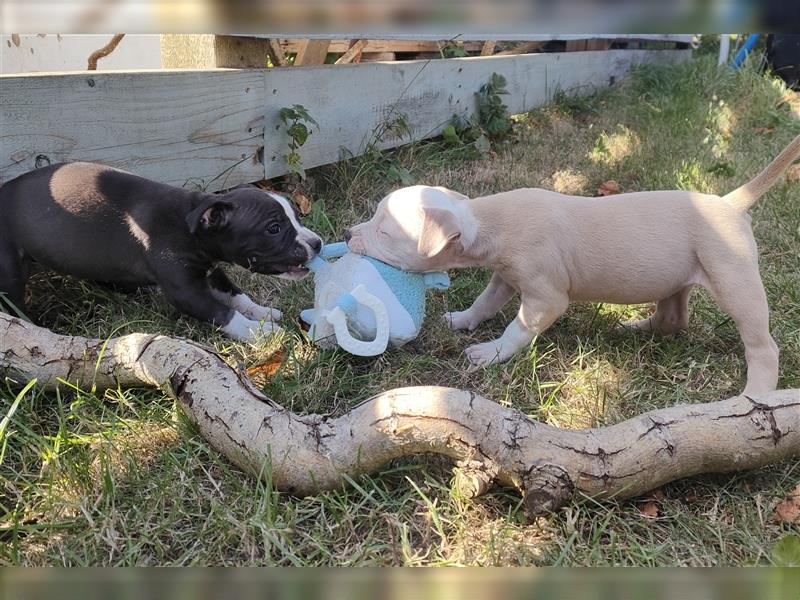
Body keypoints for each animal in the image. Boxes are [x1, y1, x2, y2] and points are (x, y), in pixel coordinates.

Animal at [0, 161, 322, 338]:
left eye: (296, 216)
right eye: (274, 228)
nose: (317, 243)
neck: (190, 225)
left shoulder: (211, 271)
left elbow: (236, 295)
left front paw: (261, 312)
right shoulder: (187, 292)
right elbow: (224, 313)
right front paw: (259, 332)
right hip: (10, 270)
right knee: (14, 303)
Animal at [346, 134, 800, 396]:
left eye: (384, 232)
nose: (349, 235)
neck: (481, 220)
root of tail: (729, 204)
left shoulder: (545, 296)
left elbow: (518, 328)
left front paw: (491, 353)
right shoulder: (504, 277)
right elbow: (484, 303)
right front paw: (461, 320)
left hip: (734, 280)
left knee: (762, 344)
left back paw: (754, 396)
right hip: (675, 278)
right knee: (673, 318)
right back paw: (634, 328)